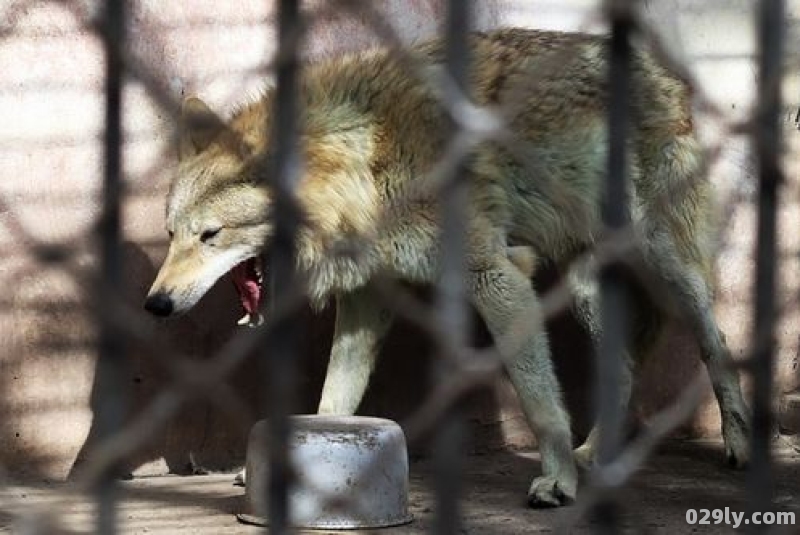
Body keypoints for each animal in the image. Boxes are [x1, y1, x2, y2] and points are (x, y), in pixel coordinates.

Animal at [147, 28, 752, 506]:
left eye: (211, 235)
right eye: (172, 234)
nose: (156, 303)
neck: (367, 161)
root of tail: (667, 74)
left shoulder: (499, 276)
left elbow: (538, 400)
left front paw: (556, 481)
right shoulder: (368, 298)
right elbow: (332, 399)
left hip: (668, 264)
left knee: (716, 340)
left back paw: (739, 445)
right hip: (583, 287)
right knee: (624, 367)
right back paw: (593, 454)